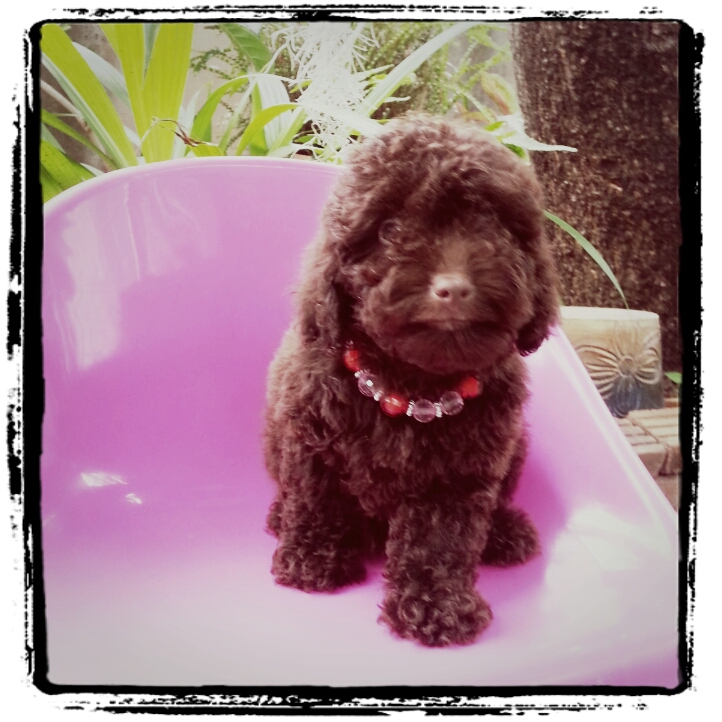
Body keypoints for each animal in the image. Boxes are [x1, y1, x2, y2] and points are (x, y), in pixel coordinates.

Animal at [263, 113, 559, 647]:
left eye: (493, 226)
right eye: (390, 230)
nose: (453, 288)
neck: (413, 384)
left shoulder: (457, 476)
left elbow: (438, 541)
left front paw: (437, 608)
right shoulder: (310, 438)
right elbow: (317, 498)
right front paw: (312, 561)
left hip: (515, 447)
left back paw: (505, 532)